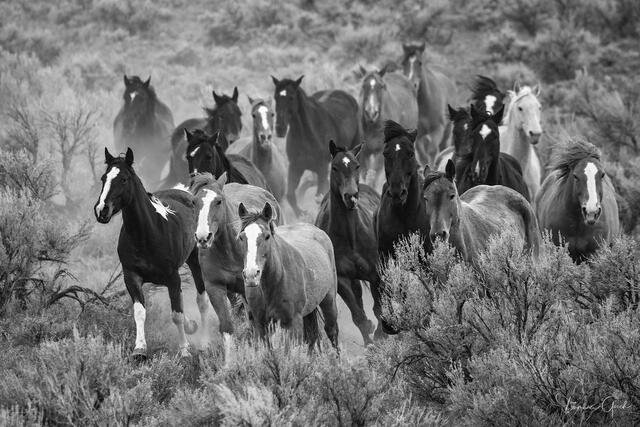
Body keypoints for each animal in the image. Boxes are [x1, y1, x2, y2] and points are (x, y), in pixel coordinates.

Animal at [94, 148, 208, 360]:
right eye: (103, 178)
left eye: (123, 179)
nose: (101, 210)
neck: (146, 234)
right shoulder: (132, 277)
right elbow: (140, 312)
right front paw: (139, 349)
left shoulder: (172, 277)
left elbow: (176, 314)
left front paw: (184, 350)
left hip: (195, 259)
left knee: (202, 300)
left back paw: (204, 342)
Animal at [189, 173, 282, 340]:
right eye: (194, 202)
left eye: (218, 201)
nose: (203, 237)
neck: (230, 250)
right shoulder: (215, 287)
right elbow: (227, 326)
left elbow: (255, 322)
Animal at [238, 202, 339, 349]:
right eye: (241, 237)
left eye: (267, 236)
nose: (251, 275)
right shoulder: (261, 325)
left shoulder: (293, 322)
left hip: (329, 301)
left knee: (332, 332)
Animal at [272, 75, 361, 217]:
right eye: (275, 97)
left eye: (291, 97)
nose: (280, 128)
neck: (308, 134)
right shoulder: (296, 167)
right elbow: (291, 195)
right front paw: (302, 213)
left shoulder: (321, 168)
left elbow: (319, 196)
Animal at [315, 141, 382, 344]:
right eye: (335, 167)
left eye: (357, 166)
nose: (351, 197)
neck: (350, 235)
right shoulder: (344, 279)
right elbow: (358, 316)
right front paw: (370, 342)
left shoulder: (375, 274)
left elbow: (379, 309)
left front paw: (380, 335)